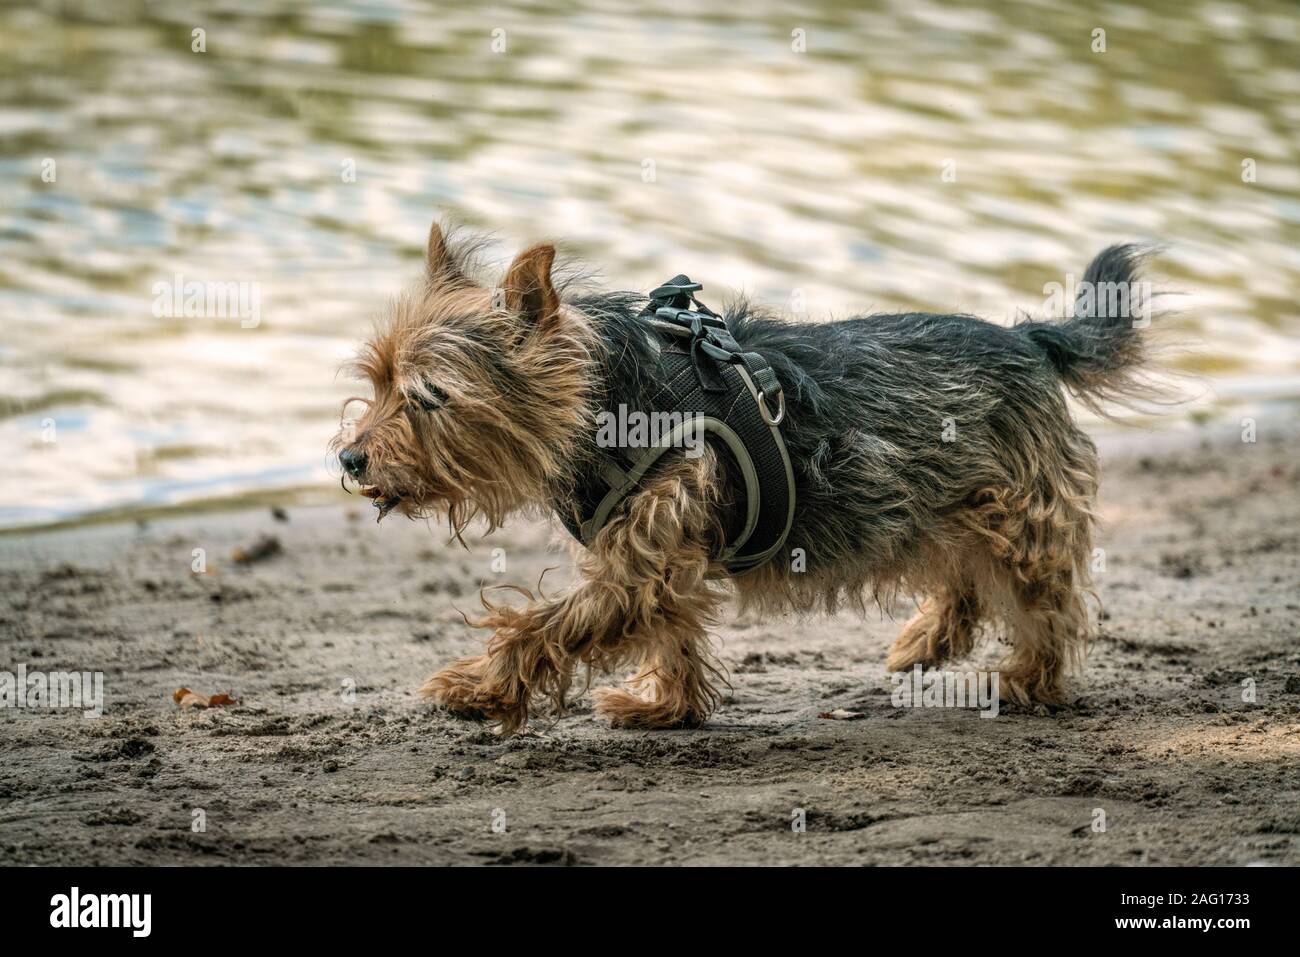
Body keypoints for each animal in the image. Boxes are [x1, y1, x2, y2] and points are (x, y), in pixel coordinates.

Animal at [332, 222, 1159, 733]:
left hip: (1020, 510)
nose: (349, 458)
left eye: (427, 397)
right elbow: (670, 630)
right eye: (377, 381)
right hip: (946, 500)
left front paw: (476, 688)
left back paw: (1023, 678)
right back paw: (926, 640)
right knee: (962, 574)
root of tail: (1031, 338)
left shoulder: (642, 554)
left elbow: (546, 624)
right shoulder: (655, 552)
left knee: (1044, 601)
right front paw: (668, 706)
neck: (609, 398)